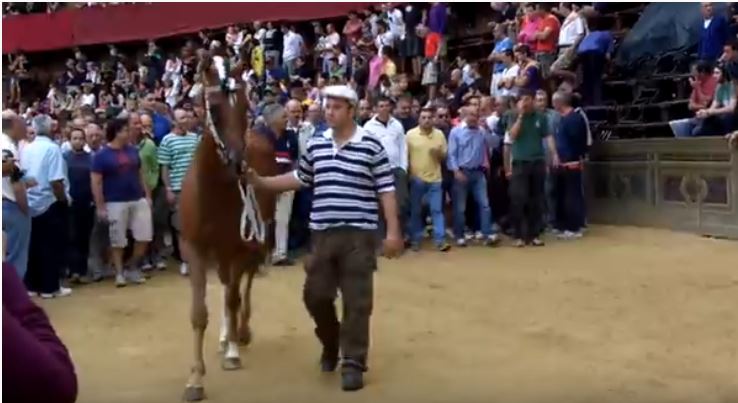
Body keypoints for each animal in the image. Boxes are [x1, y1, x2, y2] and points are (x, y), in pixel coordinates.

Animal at [179, 48, 278, 402]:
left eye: (246, 107)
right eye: (215, 107)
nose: (238, 163)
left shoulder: (237, 246)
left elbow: (234, 298)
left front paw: (234, 350)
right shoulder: (193, 248)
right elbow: (198, 313)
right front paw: (195, 379)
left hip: (254, 240)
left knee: (242, 285)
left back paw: (240, 333)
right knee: (225, 288)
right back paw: (226, 336)